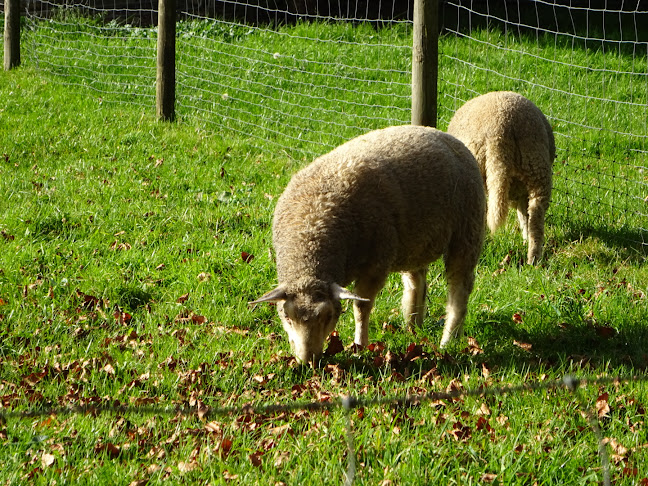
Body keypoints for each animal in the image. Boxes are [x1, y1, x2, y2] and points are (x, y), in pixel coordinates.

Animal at [251, 125, 484, 364]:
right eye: (288, 317)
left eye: (328, 316)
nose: (309, 361)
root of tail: (442, 134)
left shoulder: (374, 266)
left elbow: (361, 308)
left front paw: (360, 345)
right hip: (415, 243)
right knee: (417, 281)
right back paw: (413, 327)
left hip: (467, 231)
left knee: (459, 290)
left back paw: (449, 340)